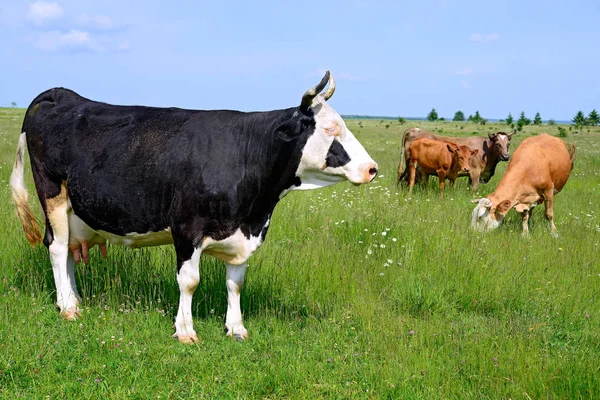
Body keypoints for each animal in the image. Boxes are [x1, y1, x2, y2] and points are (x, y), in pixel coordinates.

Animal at [9, 70, 378, 342]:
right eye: (330, 128)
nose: (372, 168)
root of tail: (60, 94)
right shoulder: (187, 227)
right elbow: (189, 280)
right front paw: (185, 330)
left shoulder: (243, 235)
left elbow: (235, 282)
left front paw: (236, 328)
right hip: (52, 194)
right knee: (56, 248)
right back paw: (67, 307)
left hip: (76, 210)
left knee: (69, 250)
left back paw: (73, 298)